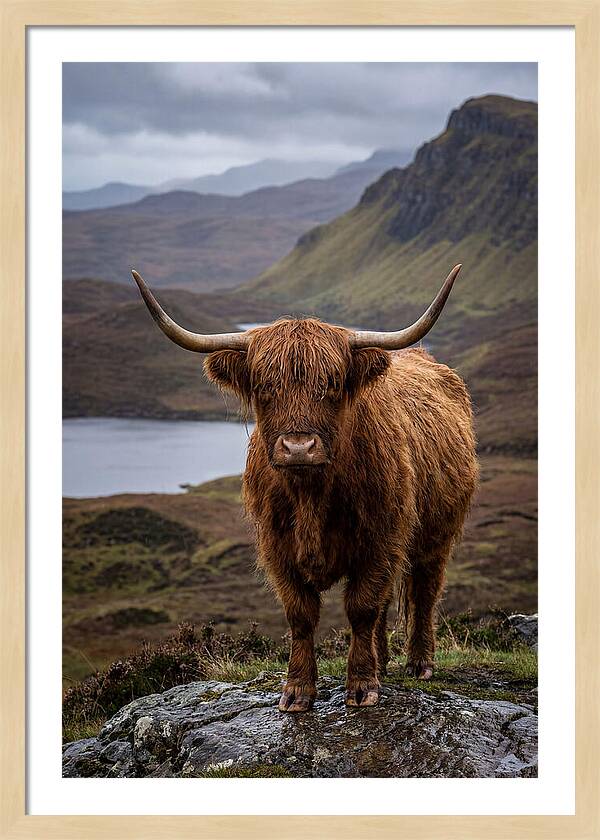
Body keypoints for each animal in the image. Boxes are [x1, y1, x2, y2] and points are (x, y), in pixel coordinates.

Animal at [132, 265, 478, 712]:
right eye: (264, 386)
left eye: (332, 383)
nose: (299, 447)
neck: (311, 495)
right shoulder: (277, 547)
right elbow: (302, 614)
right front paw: (298, 690)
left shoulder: (380, 540)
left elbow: (361, 607)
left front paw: (361, 686)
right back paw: (384, 662)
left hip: (436, 535)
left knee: (424, 591)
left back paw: (419, 663)